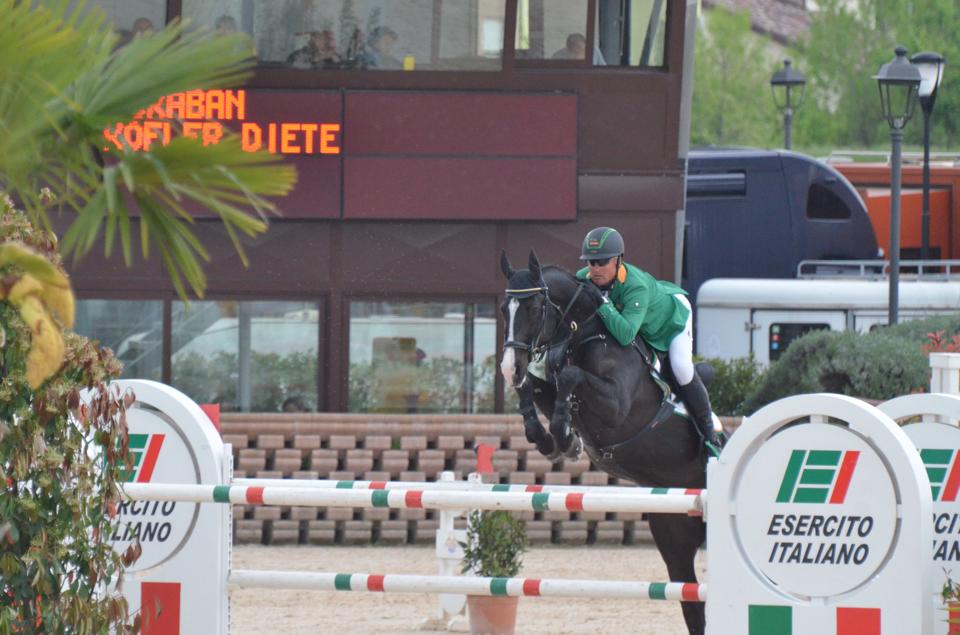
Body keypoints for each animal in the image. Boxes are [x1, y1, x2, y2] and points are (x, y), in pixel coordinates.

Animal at [498, 252, 708, 635]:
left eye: (535, 308)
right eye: (505, 309)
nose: (509, 367)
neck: (583, 333)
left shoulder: (616, 407)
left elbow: (569, 376)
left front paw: (565, 433)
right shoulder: (547, 381)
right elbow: (534, 384)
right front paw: (552, 439)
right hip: (674, 535)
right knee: (691, 600)